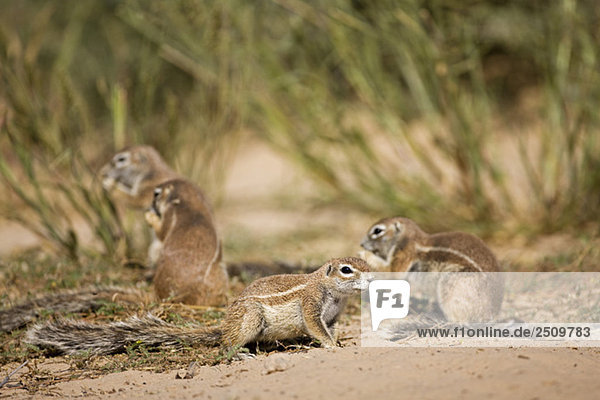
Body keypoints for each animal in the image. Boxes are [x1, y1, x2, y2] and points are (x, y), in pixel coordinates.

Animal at [25, 256, 372, 354]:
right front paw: (332, 347)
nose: (372, 279)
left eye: (365, 262)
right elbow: (316, 327)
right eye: (346, 270)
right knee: (226, 345)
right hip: (250, 318)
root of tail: (224, 326)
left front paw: (339, 341)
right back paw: (239, 353)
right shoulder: (311, 304)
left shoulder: (334, 314)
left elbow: (330, 327)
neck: (332, 292)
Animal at [358, 217, 504, 324]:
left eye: (377, 230)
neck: (408, 238)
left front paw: (364, 254)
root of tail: (491, 314)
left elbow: (391, 271)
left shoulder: (404, 255)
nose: (361, 244)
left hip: (452, 282)